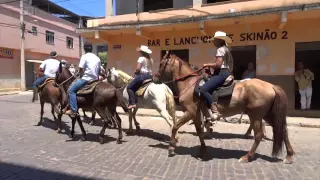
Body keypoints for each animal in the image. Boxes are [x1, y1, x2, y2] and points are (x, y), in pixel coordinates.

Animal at [155, 51, 296, 164]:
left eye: (161, 64)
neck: (189, 84)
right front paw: (202, 150)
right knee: (282, 130)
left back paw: (247, 157)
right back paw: (289, 156)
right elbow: (199, 131)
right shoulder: (195, 113)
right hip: (267, 114)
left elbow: (175, 126)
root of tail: (271, 86)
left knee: (259, 135)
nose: (155, 78)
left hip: (256, 115)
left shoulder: (190, 111)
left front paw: (171, 148)